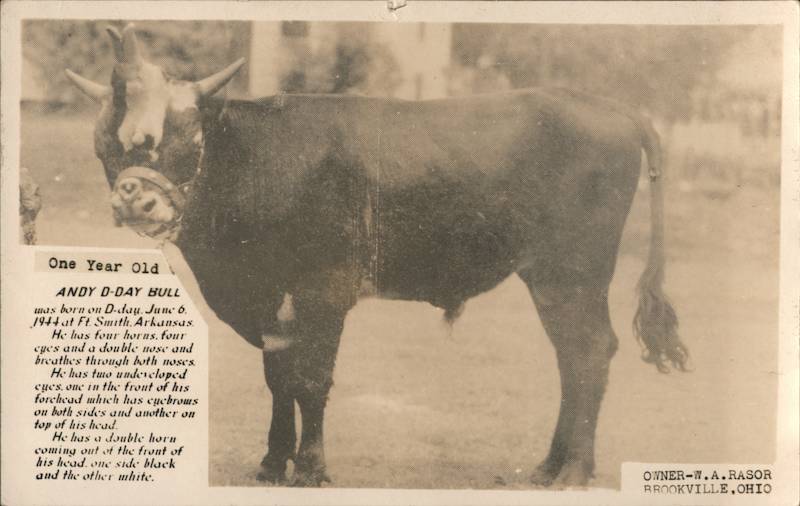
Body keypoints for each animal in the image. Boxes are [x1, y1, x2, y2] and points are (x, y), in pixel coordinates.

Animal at [66, 24, 688, 488]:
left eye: (187, 135)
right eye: (105, 144)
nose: (134, 198)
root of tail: (608, 106)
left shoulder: (323, 289)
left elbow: (311, 380)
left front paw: (311, 469)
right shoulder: (269, 299)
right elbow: (278, 378)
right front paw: (271, 463)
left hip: (572, 273)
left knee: (588, 353)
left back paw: (573, 471)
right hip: (551, 276)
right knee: (572, 357)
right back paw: (548, 466)